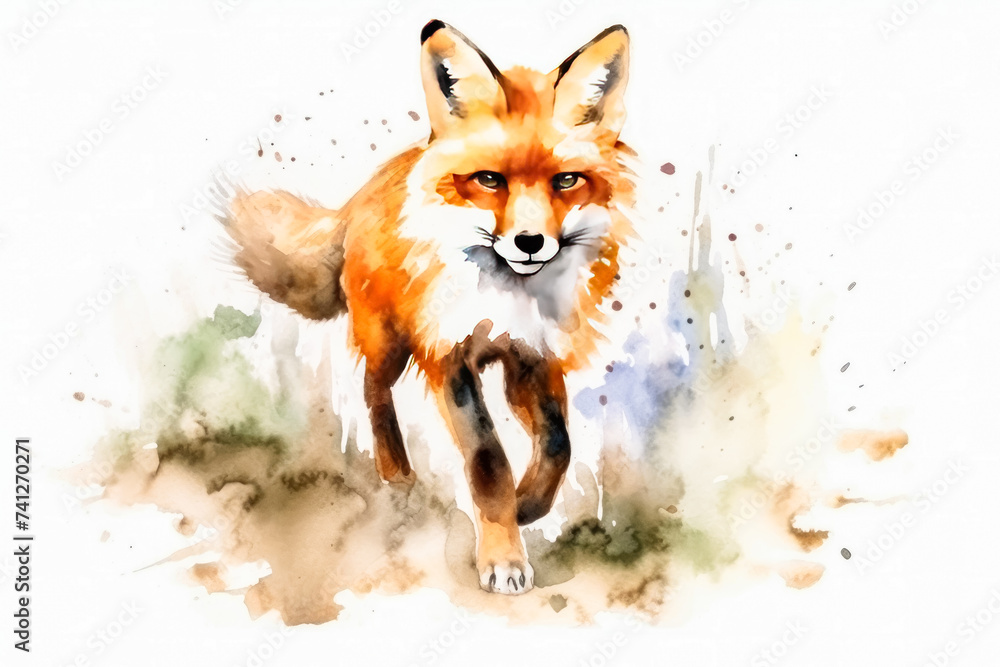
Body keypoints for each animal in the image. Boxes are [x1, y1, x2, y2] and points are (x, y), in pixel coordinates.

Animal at [224, 19, 635, 595]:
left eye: (566, 181)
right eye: (489, 180)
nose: (530, 243)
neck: (503, 296)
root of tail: (366, 189)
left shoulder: (533, 357)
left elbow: (558, 445)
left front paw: (527, 505)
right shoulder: (449, 357)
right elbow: (488, 461)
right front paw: (502, 555)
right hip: (389, 341)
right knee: (373, 391)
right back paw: (395, 473)